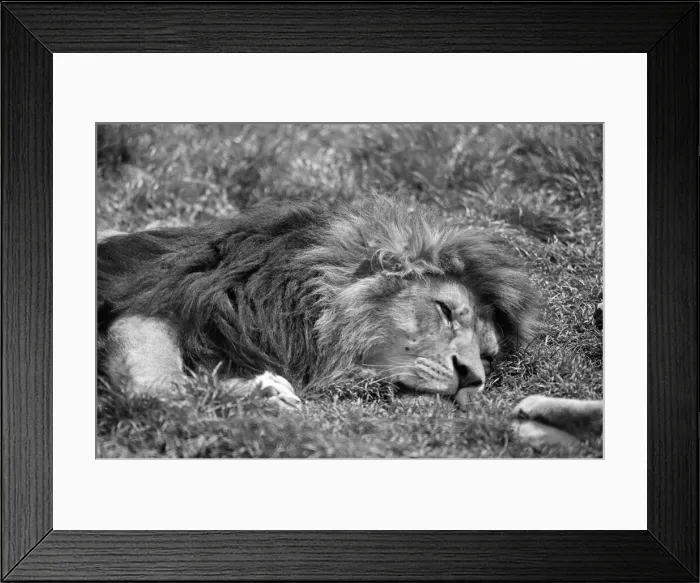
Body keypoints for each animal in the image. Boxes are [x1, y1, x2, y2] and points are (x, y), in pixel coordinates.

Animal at [98, 196, 602, 448]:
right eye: (444, 310)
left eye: (489, 357)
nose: (471, 378)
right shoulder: (158, 300)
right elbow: (152, 385)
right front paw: (259, 394)